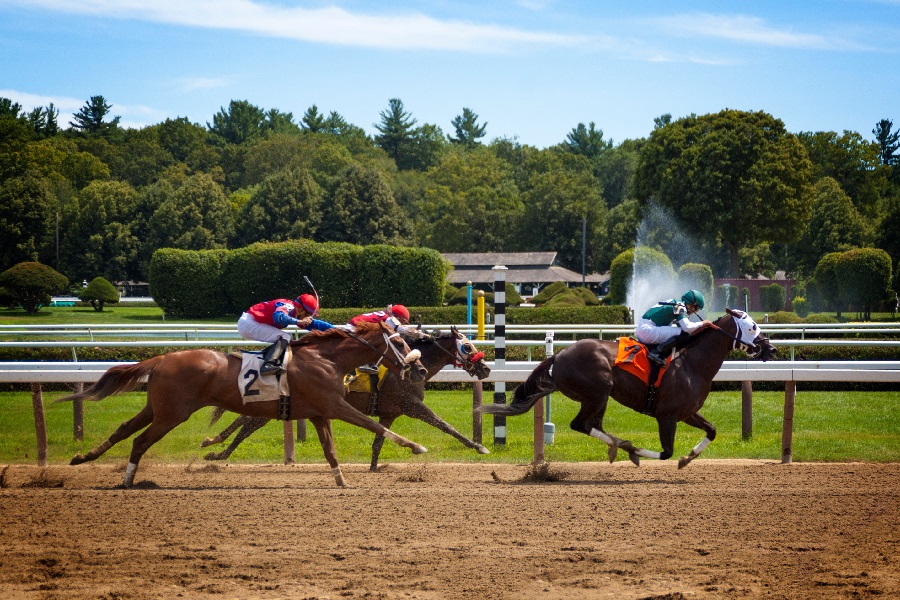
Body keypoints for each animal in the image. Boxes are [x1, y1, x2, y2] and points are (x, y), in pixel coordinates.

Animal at [58, 324, 430, 488]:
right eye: (399, 343)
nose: (422, 370)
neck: (328, 359)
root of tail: (162, 357)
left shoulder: (319, 412)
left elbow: (330, 451)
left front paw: (341, 481)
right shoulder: (335, 406)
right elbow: (376, 425)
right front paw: (416, 446)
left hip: (158, 408)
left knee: (124, 430)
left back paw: (83, 458)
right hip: (173, 414)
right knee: (140, 440)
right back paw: (127, 480)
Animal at [200, 326, 492, 472]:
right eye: (468, 347)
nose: (486, 369)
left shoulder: (390, 412)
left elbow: (379, 438)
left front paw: (374, 466)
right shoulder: (412, 405)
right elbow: (445, 425)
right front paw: (479, 447)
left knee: (247, 421)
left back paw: (215, 445)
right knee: (248, 425)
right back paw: (218, 451)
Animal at [474, 310, 776, 468]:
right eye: (752, 327)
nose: (771, 349)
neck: (691, 363)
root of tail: (558, 356)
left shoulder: (687, 413)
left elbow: (711, 431)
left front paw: (687, 458)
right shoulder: (667, 416)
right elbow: (666, 452)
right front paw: (639, 453)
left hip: (599, 397)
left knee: (591, 425)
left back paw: (616, 446)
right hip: (598, 391)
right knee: (580, 424)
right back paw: (623, 446)